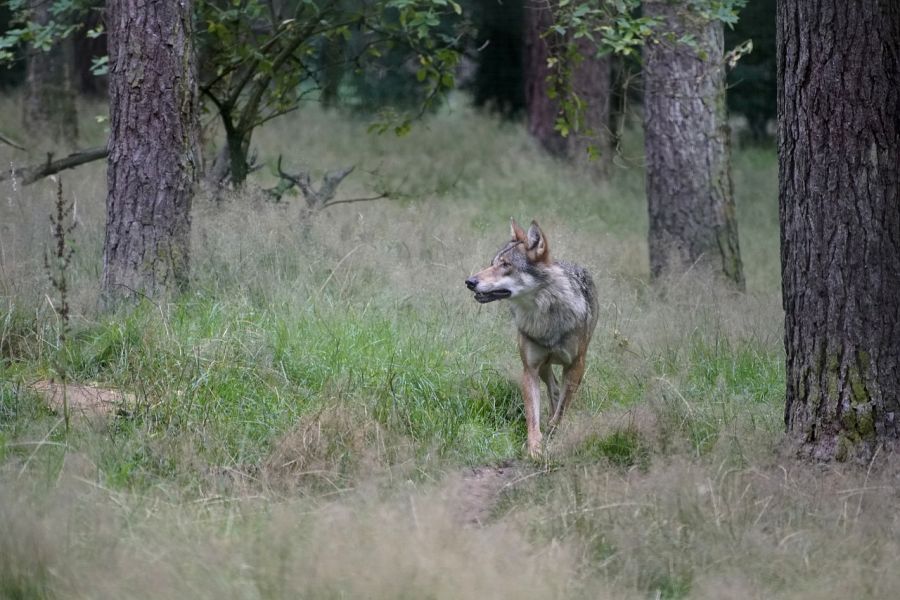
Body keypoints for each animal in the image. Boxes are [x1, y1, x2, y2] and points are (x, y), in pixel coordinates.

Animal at [464, 218, 596, 458]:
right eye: (492, 263)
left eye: (505, 265)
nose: (469, 281)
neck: (544, 316)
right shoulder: (530, 369)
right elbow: (532, 416)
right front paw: (534, 449)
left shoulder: (576, 366)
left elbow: (561, 411)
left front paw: (553, 436)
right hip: (544, 367)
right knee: (554, 388)